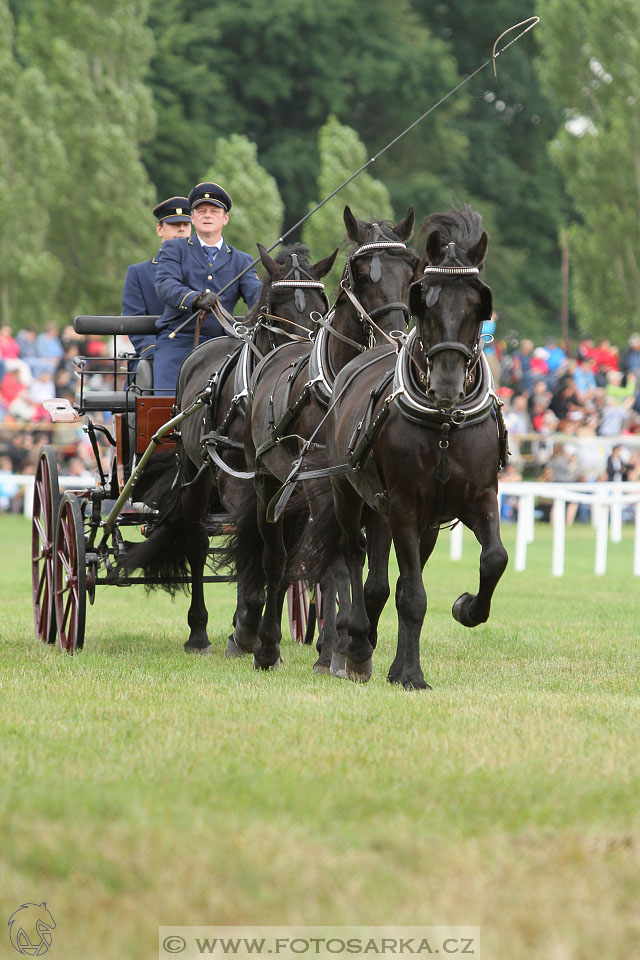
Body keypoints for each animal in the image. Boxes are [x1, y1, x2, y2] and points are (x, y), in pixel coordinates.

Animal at [122, 244, 338, 656]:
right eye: (274, 304)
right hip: (196, 476)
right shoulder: (238, 481)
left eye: (321, 305)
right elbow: (252, 547)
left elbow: (279, 553)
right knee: (197, 543)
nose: (300, 360)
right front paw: (247, 628)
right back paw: (199, 632)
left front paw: (254, 628)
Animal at [231, 204, 420, 668]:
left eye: (411, 267)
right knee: (275, 559)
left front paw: (353, 640)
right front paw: (335, 648)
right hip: (269, 481)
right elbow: (331, 566)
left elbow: (370, 575)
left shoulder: (374, 490)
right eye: (360, 272)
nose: (393, 335)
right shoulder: (322, 487)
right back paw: (265, 643)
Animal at [316, 206, 510, 688]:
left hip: (418, 521)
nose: (446, 384)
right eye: (428, 300)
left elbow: (493, 559)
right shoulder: (403, 504)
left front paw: (466, 609)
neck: (444, 424)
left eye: (479, 304)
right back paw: (354, 644)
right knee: (352, 555)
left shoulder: (478, 498)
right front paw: (410, 673)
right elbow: (411, 595)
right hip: (349, 495)